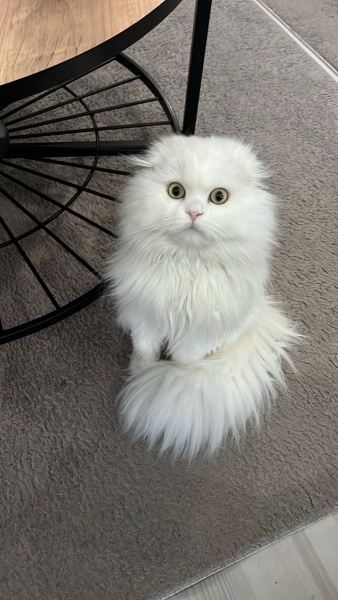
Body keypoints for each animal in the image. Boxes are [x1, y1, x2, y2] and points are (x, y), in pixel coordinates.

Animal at [106, 135, 298, 460]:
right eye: (176, 192)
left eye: (218, 197)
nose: (194, 213)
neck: (188, 266)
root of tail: (262, 313)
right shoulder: (147, 318)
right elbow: (145, 352)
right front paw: (140, 375)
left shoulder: (196, 333)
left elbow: (183, 361)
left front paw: (166, 376)